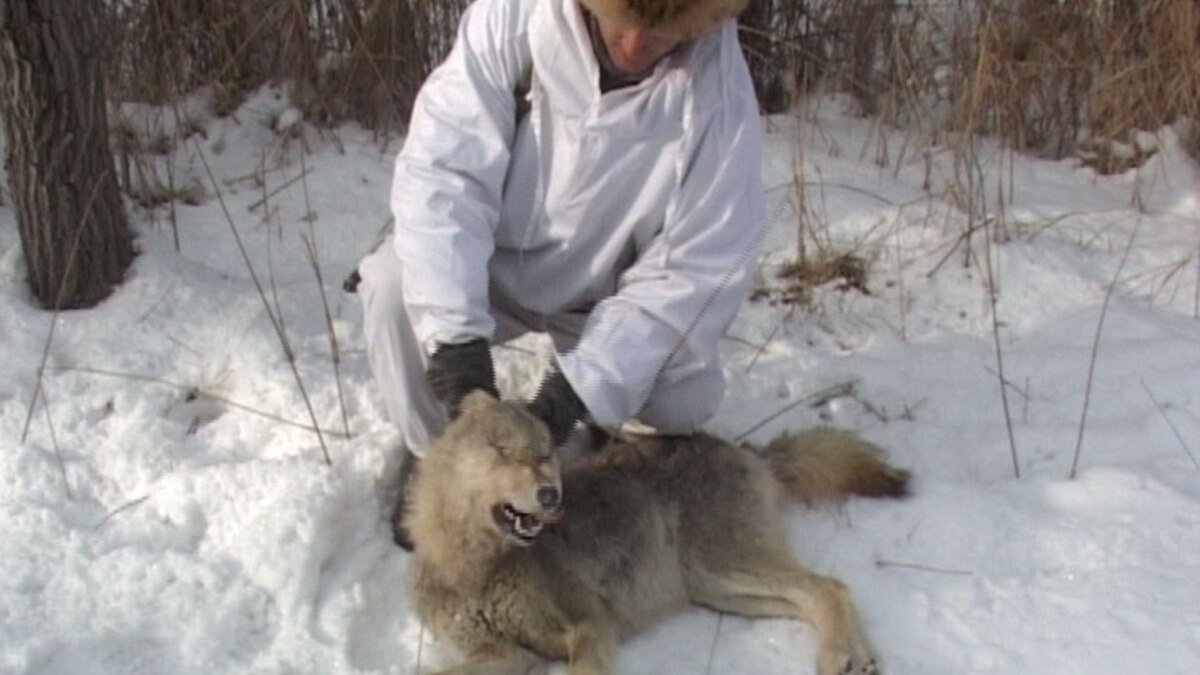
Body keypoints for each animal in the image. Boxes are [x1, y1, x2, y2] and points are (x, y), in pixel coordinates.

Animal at [403, 389, 907, 672]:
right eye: (503, 450)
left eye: (545, 453)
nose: (550, 496)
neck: (477, 569)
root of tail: (746, 449)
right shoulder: (506, 655)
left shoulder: (588, 628)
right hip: (720, 590)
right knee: (811, 597)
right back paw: (858, 658)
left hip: (724, 568)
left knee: (830, 587)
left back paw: (839, 657)